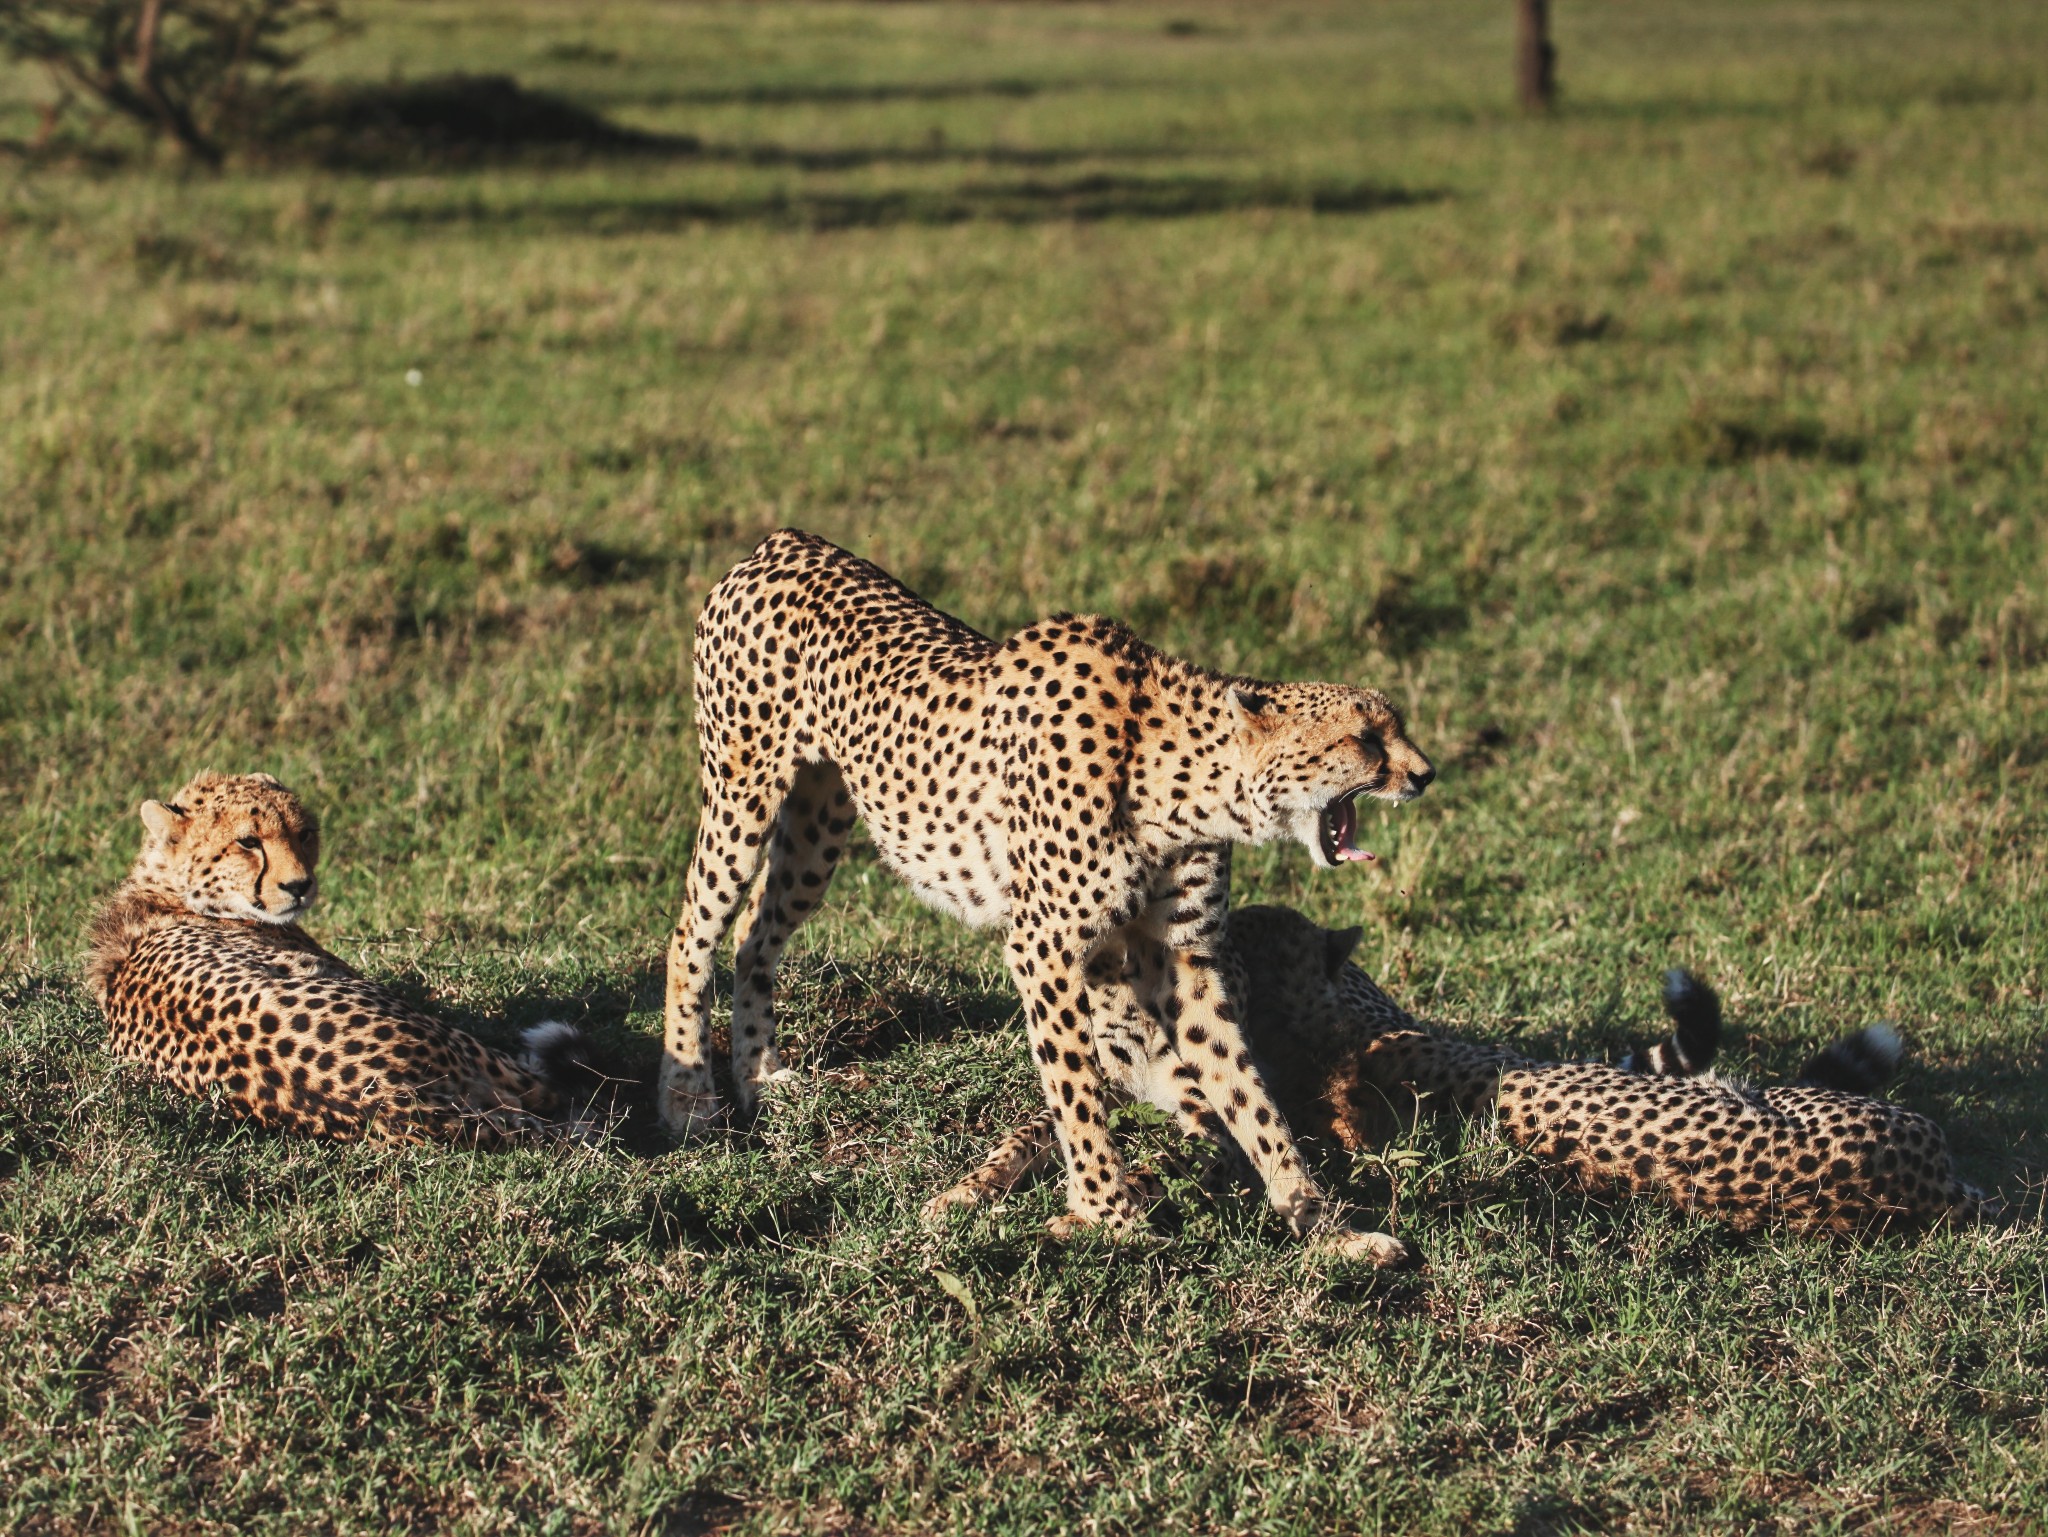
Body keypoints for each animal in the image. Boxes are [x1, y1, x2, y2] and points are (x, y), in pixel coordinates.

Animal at [90, 774, 598, 1147]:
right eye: (248, 842)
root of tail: (397, 1102)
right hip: (463, 1047)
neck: (169, 890)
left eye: (305, 834)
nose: (299, 886)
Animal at [663, 528, 1433, 1262]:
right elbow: (1076, 1088)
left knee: (753, 938)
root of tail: (789, 542)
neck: (1186, 782)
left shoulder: (1186, 958)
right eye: (1366, 739)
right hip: (742, 792)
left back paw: (759, 1075)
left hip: (819, 825)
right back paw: (689, 1103)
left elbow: (1247, 1094)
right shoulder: (1045, 946)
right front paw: (1109, 1216)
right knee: (691, 933)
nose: (1425, 774)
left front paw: (1324, 1225)